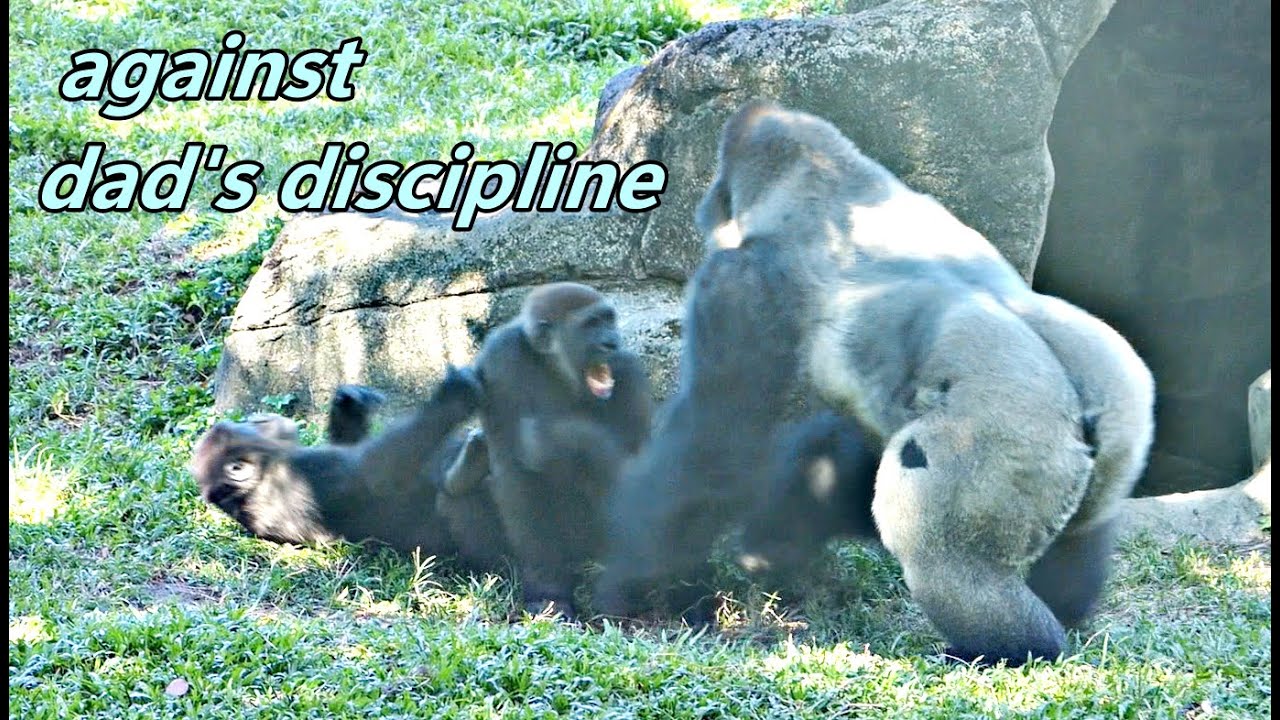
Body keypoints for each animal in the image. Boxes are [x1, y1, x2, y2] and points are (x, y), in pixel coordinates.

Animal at [191, 366, 487, 558]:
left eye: (251, 422)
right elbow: (375, 472)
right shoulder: (306, 473)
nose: (262, 417)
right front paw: (454, 397)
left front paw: (348, 402)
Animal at [471, 282, 652, 619]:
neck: (554, 367)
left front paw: (560, 436)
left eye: (608, 320)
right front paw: (547, 590)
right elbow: (514, 476)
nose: (611, 343)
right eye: (591, 324)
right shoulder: (499, 358)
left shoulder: (628, 372)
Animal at [649, 101, 1156, 665]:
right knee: (1085, 534)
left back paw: (1011, 649)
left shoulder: (739, 281)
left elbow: (709, 434)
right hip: (1122, 414)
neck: (827, 177)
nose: (703, 211)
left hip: (1000, 440)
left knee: (948, 565)